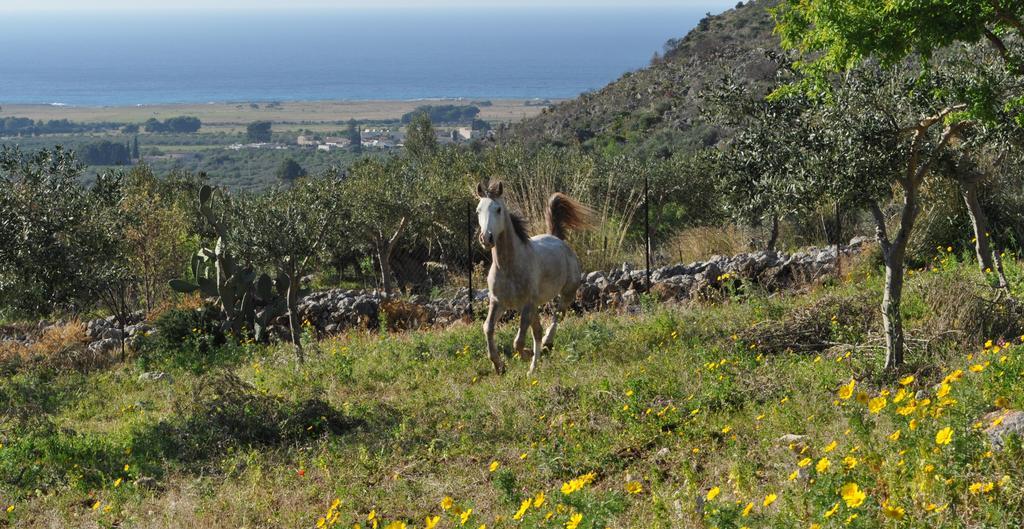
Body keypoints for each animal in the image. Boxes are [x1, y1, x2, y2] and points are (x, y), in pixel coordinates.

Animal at [477, 181, 598, 374]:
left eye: (498, 209)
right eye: (478, 210)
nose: (486, 238)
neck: (508, 266)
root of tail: (557, 239)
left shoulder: (527, 304)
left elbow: (518, 341)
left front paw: (526, 354)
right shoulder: (497, 302)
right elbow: (488, 328)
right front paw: (499, 365)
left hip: (566, 294)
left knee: (556, 317)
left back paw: (546, 346)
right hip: (532, 307)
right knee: (538, 331)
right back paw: (534, 366)